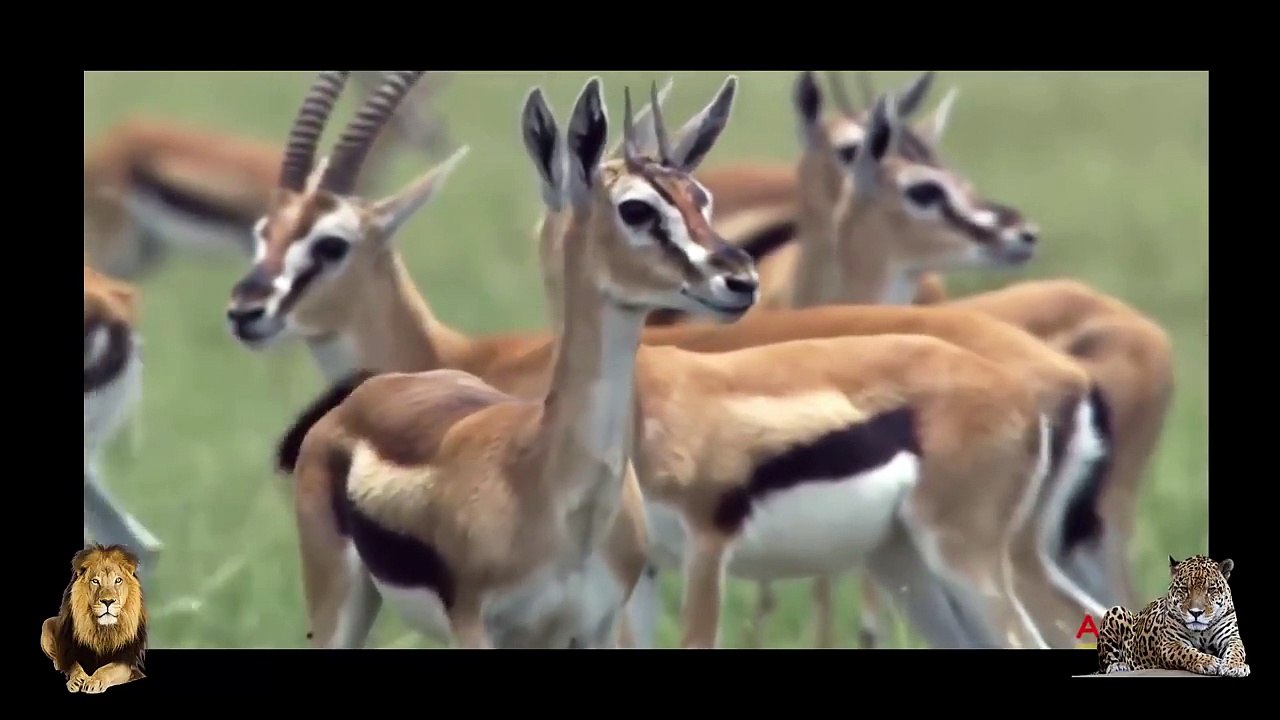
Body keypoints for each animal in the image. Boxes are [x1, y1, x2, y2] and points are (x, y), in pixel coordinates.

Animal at [229, 72, 1098, 649]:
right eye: (263, 231)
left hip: (972, 562)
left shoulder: (701, 555)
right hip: (913, 566)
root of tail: (1044, 384)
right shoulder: (635, 586)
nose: (246, 308)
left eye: (331, 242)